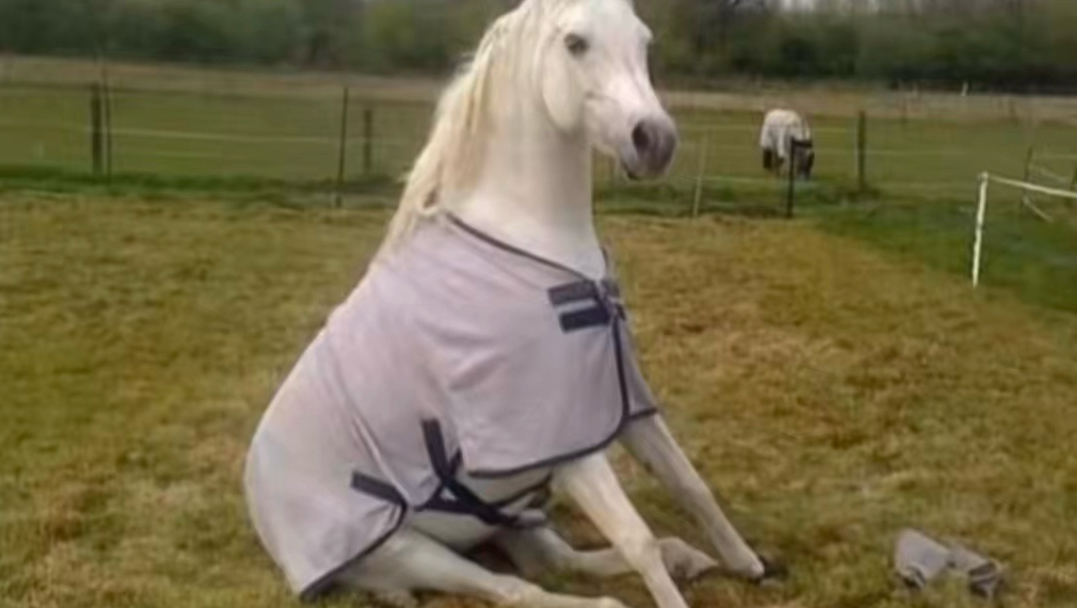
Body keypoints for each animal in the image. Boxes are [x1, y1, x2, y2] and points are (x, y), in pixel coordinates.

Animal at [242, 1, 777, 607]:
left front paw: (749, 563)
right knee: (515, 588)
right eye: (575, 43)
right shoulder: (562, 444)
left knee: (557, 560)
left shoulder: (619, 404)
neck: (532, 243)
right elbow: (636, 538)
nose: (655, 141)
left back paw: (686, 556)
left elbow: (690, 484)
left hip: (506, 521)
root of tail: (259, 494)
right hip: (407, 550)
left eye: (644, 41)